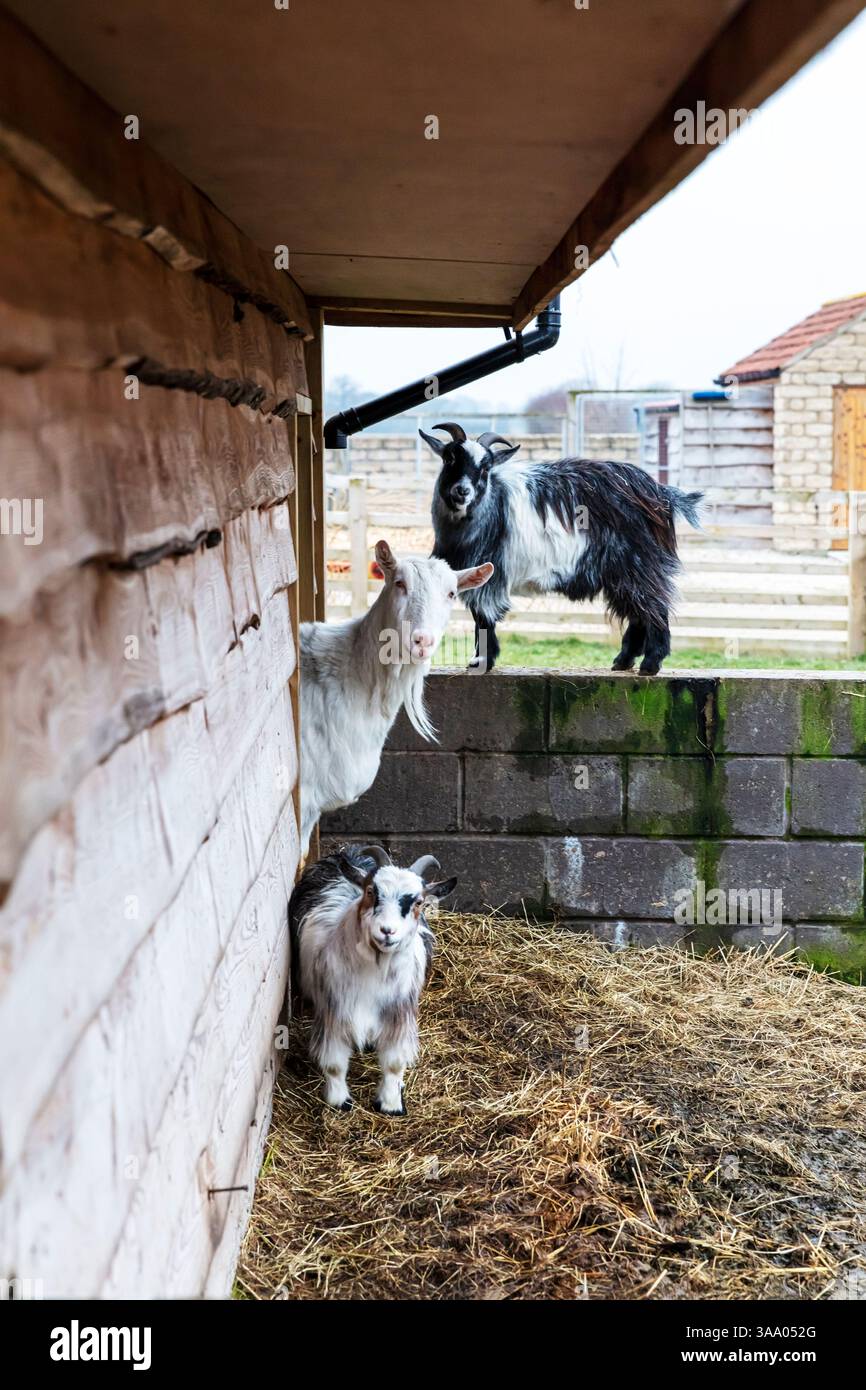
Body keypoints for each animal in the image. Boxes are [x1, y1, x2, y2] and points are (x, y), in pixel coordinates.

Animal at [289, 844, 456, 1114]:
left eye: (418, 901)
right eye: (371, 891)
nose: (387, 931)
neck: (373, 974)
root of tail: (352, 851)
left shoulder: (398, 1015)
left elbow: (394, 1063)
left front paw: (391, 1103)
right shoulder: (333, 1013)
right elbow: (334, 1063)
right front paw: (339, 1101)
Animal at [421, 422, 702, 675]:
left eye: (486, 467)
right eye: (449, 458)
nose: (462, 492)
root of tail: (661, 494)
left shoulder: (490, 573)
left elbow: (483, 617)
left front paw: (482, 662)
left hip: (639, 562)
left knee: (654, 606)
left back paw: (651, 663)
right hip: (622, 572)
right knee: (637, 611)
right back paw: (623, 661)